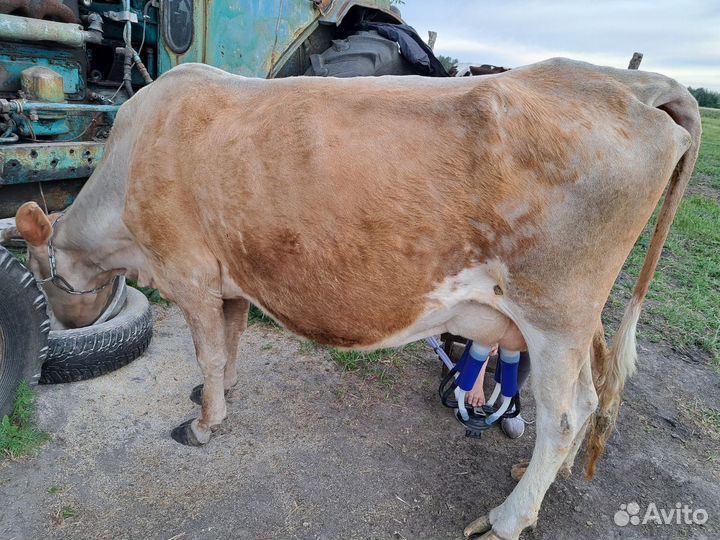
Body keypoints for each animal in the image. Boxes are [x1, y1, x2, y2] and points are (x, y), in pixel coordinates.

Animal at [11, 58, 700, 539]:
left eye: (39, 279)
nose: (65, 321)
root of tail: (636, 85)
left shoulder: (190, 274)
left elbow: (206, 351)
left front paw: (205, 424)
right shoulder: (231, 279)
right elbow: (229, 344)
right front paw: (220, 394)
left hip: (554, 315)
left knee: (566, 416)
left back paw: (506, 518)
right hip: (579, 323)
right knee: (589, 400)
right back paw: (527, 486)